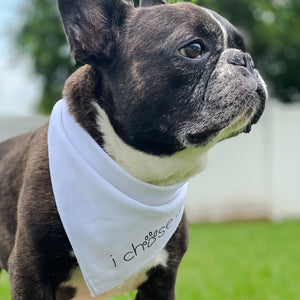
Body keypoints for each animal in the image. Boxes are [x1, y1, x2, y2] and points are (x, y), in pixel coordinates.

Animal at [0, 0, 268, 298]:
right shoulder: (30, 271)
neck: (139, 172)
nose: (246, 59)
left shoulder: (162, 279)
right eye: (194, 49)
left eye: (242, 47)